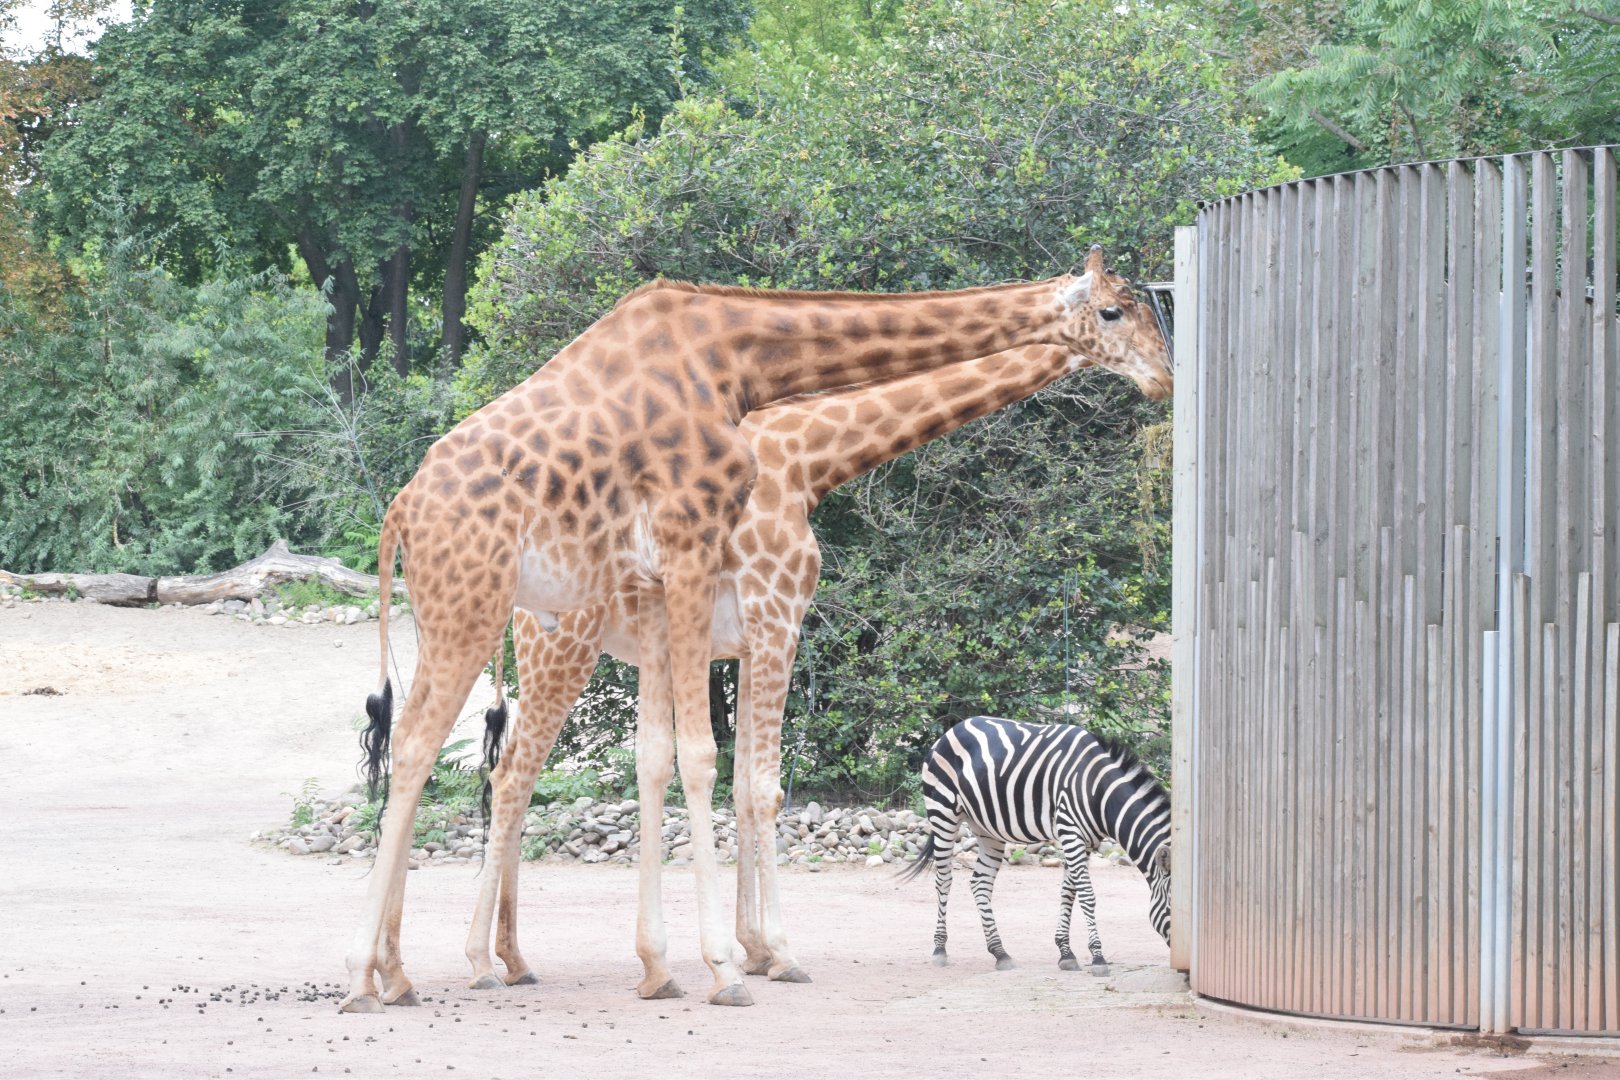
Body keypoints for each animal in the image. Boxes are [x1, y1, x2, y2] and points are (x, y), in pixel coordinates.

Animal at [340, 245, 1163, 1013]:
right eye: (1116, 309)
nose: (1163, 378)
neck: (806, 458)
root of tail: (399, 511)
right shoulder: (766, 611)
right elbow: (737, 776)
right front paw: (751, 959)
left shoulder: (707, 627)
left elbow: (690, 770)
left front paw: (708, 957)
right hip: (512, 630)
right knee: (446, 759)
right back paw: (404, 971)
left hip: (496, 629)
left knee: (487, 767)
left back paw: (449, 965)